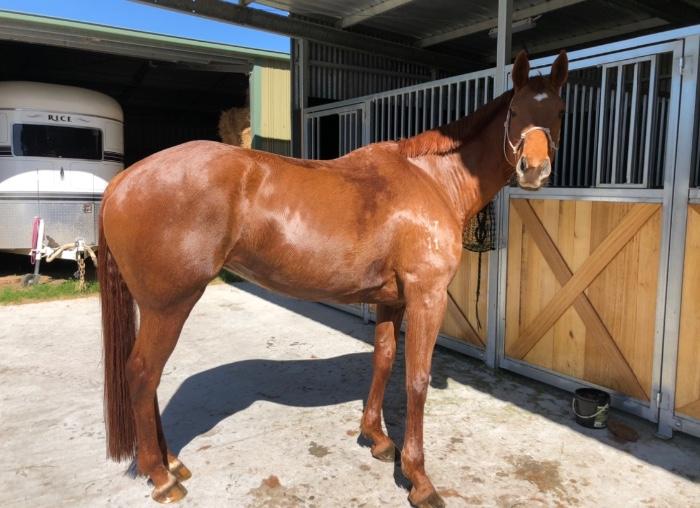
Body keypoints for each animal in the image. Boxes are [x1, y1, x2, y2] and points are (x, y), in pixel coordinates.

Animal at [99, 50, 568, 507]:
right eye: (515, 109)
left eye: (558, 109)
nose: (534, 170)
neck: (431, 181)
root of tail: (124, 179)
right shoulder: (427, 296)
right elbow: (417, 380)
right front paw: (418, 478)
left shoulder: (391, 299)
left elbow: (383, 360)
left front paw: (377, 439)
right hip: (169, 305)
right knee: (142, 374)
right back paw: (161, 476)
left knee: (150, 379)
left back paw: (171, 463)